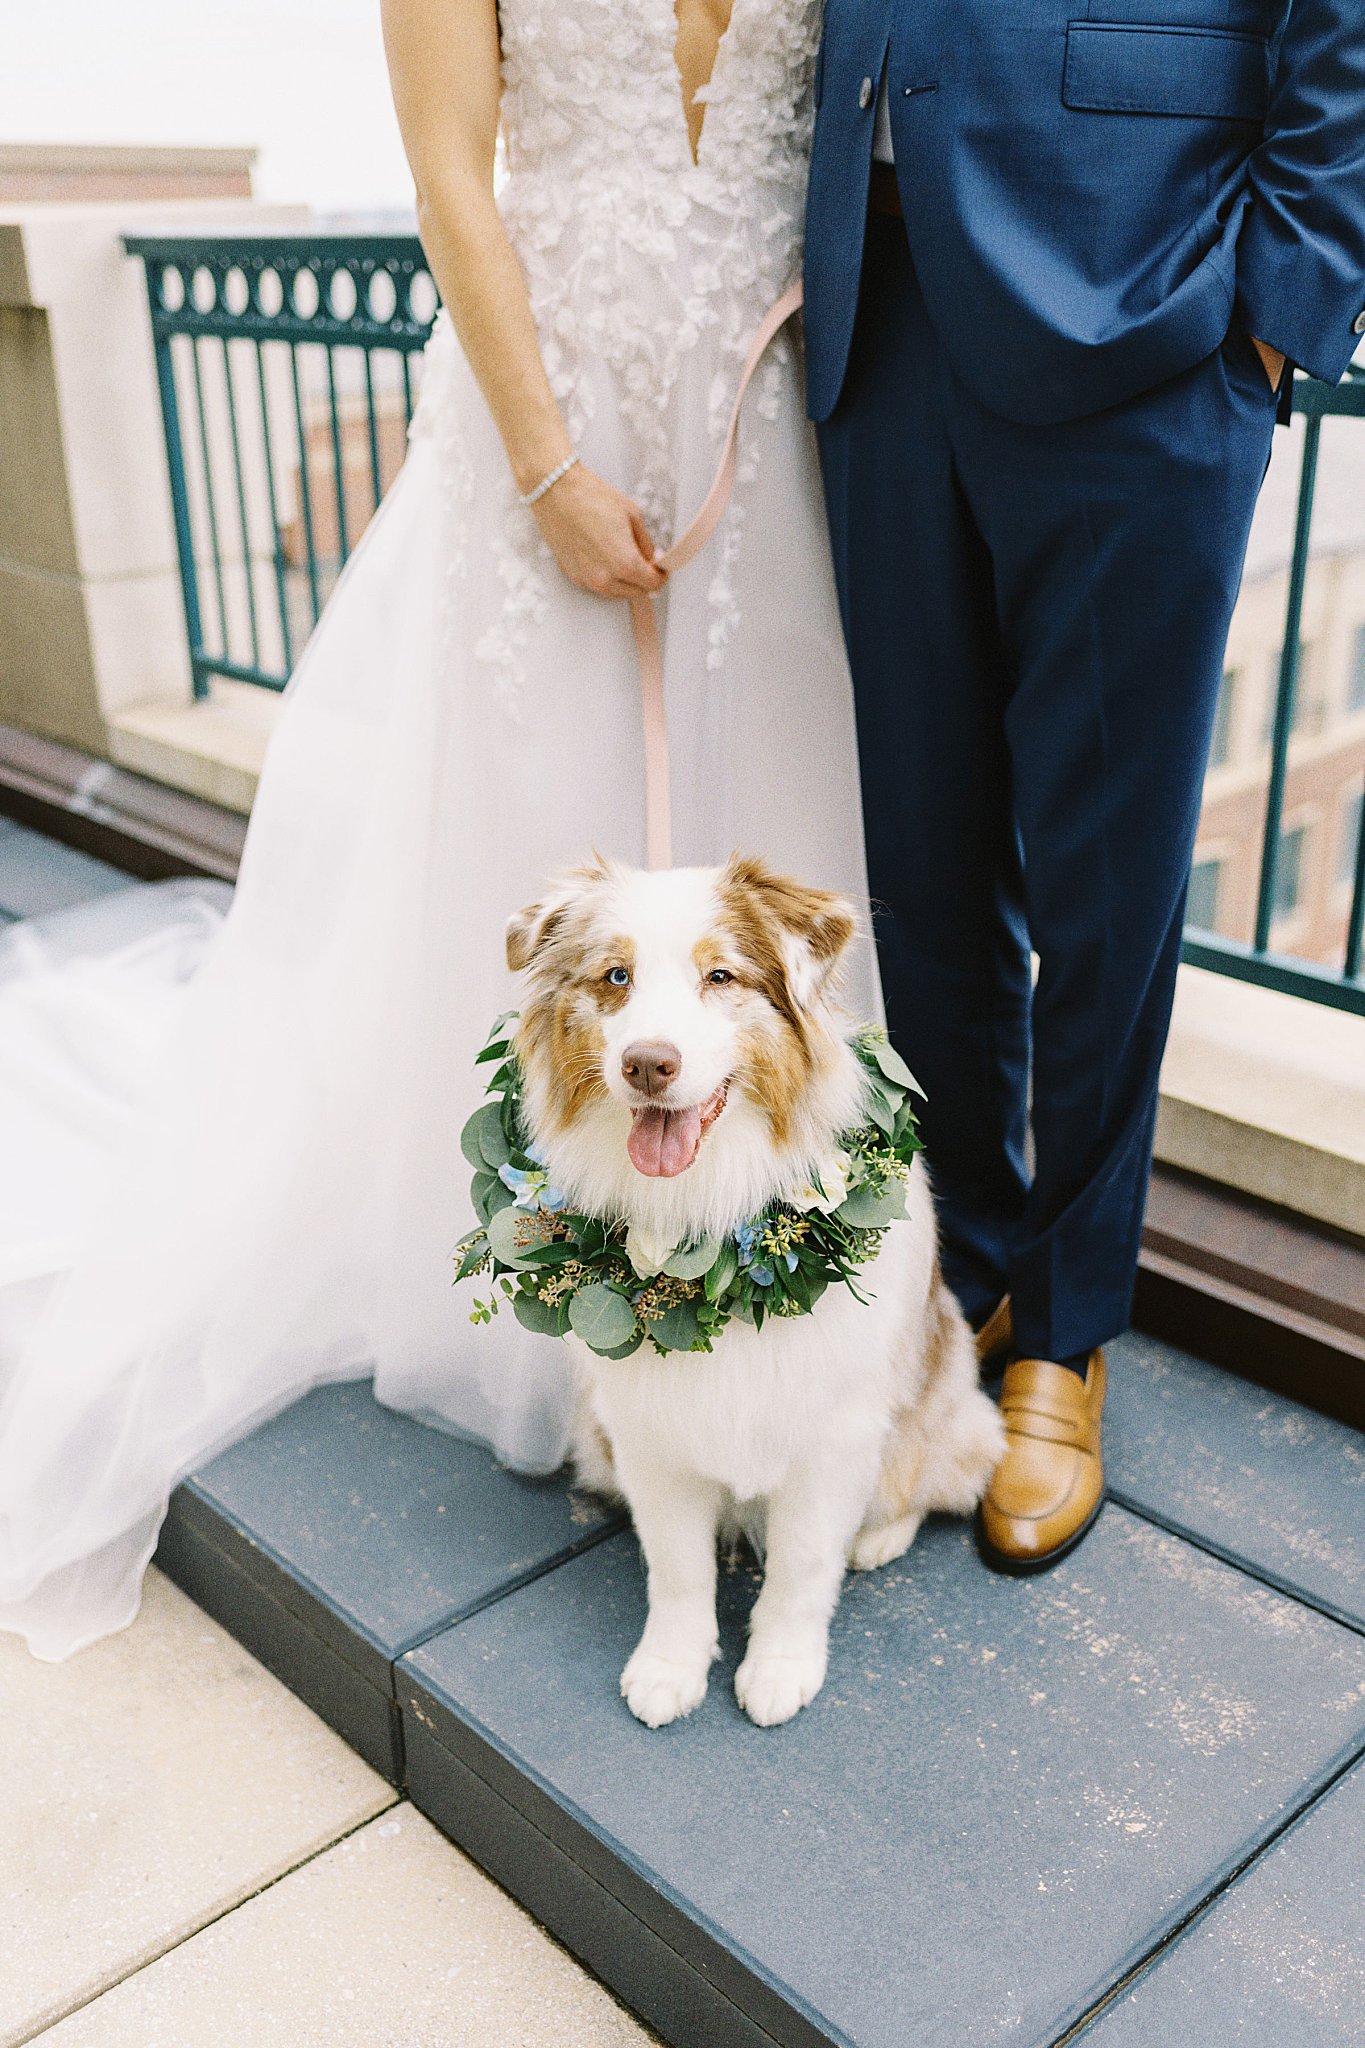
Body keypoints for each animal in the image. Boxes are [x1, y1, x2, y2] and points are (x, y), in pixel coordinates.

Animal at [509, 851, 1002, 1728]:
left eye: (719, 975)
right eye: (614, 976)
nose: (647, 1064)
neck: (705, 1213)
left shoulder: (831, 1438)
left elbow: (802, 1569)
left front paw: (779, 1667)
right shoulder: (649, 1437)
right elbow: (676, 1570)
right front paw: (670, 1667)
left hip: (945, 1403)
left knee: (938, 1474)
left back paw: (877, 1537)